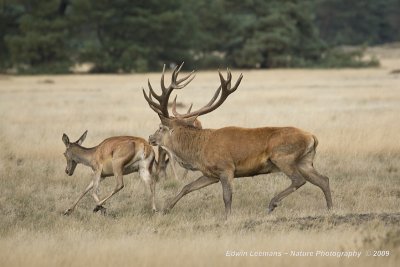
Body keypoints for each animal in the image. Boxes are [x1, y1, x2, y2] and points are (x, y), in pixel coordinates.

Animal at [143, 62, 332, 220]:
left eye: (160, 127)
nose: (150, 137)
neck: (198, 152)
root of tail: (312, 137)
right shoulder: (210, 173)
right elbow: (187, 187)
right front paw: (165, 209)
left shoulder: (226, 168)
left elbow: (227, 197)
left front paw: (227, 218)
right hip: (305, 161)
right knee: (323, 179)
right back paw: (330, 208)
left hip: (283, 156)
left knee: (299, 180)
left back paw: (272, 203)